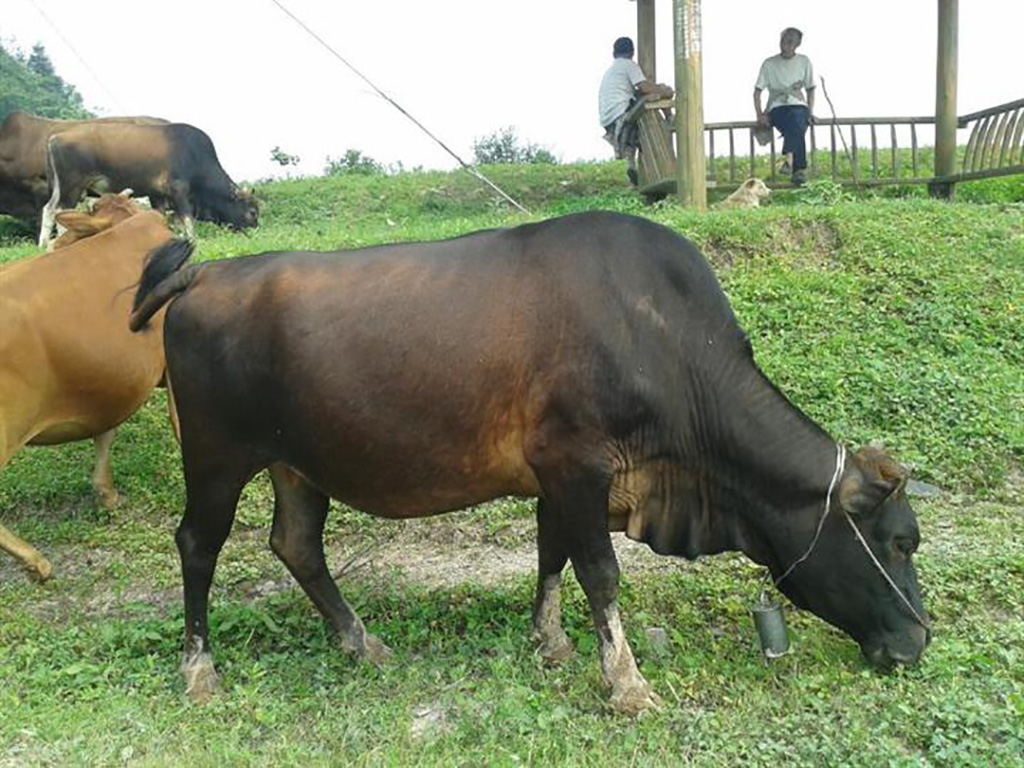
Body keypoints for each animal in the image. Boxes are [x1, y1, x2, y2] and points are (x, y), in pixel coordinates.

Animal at [40, 122, 258, 246]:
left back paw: (42, 244)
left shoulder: (157, 194)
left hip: (61, 187)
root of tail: (55, 138)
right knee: (61, 211)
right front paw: (192, 240)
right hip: (72, 186)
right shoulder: (178, 188)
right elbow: (187, 219)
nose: (256, 230)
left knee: (49, 209)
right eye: (252, 212)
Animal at [125, 211, 929, 716]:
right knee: (198, 544)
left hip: (297, 462)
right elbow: (600, 572)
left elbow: (551, 554)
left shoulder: (560, 477)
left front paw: (551, 642)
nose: (918, 640)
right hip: (217, 456)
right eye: (898, 542)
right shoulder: (575, 463)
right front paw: (626, 684)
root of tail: (204, 276)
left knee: (296, 544)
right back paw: (199, 670)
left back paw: (361, 642)